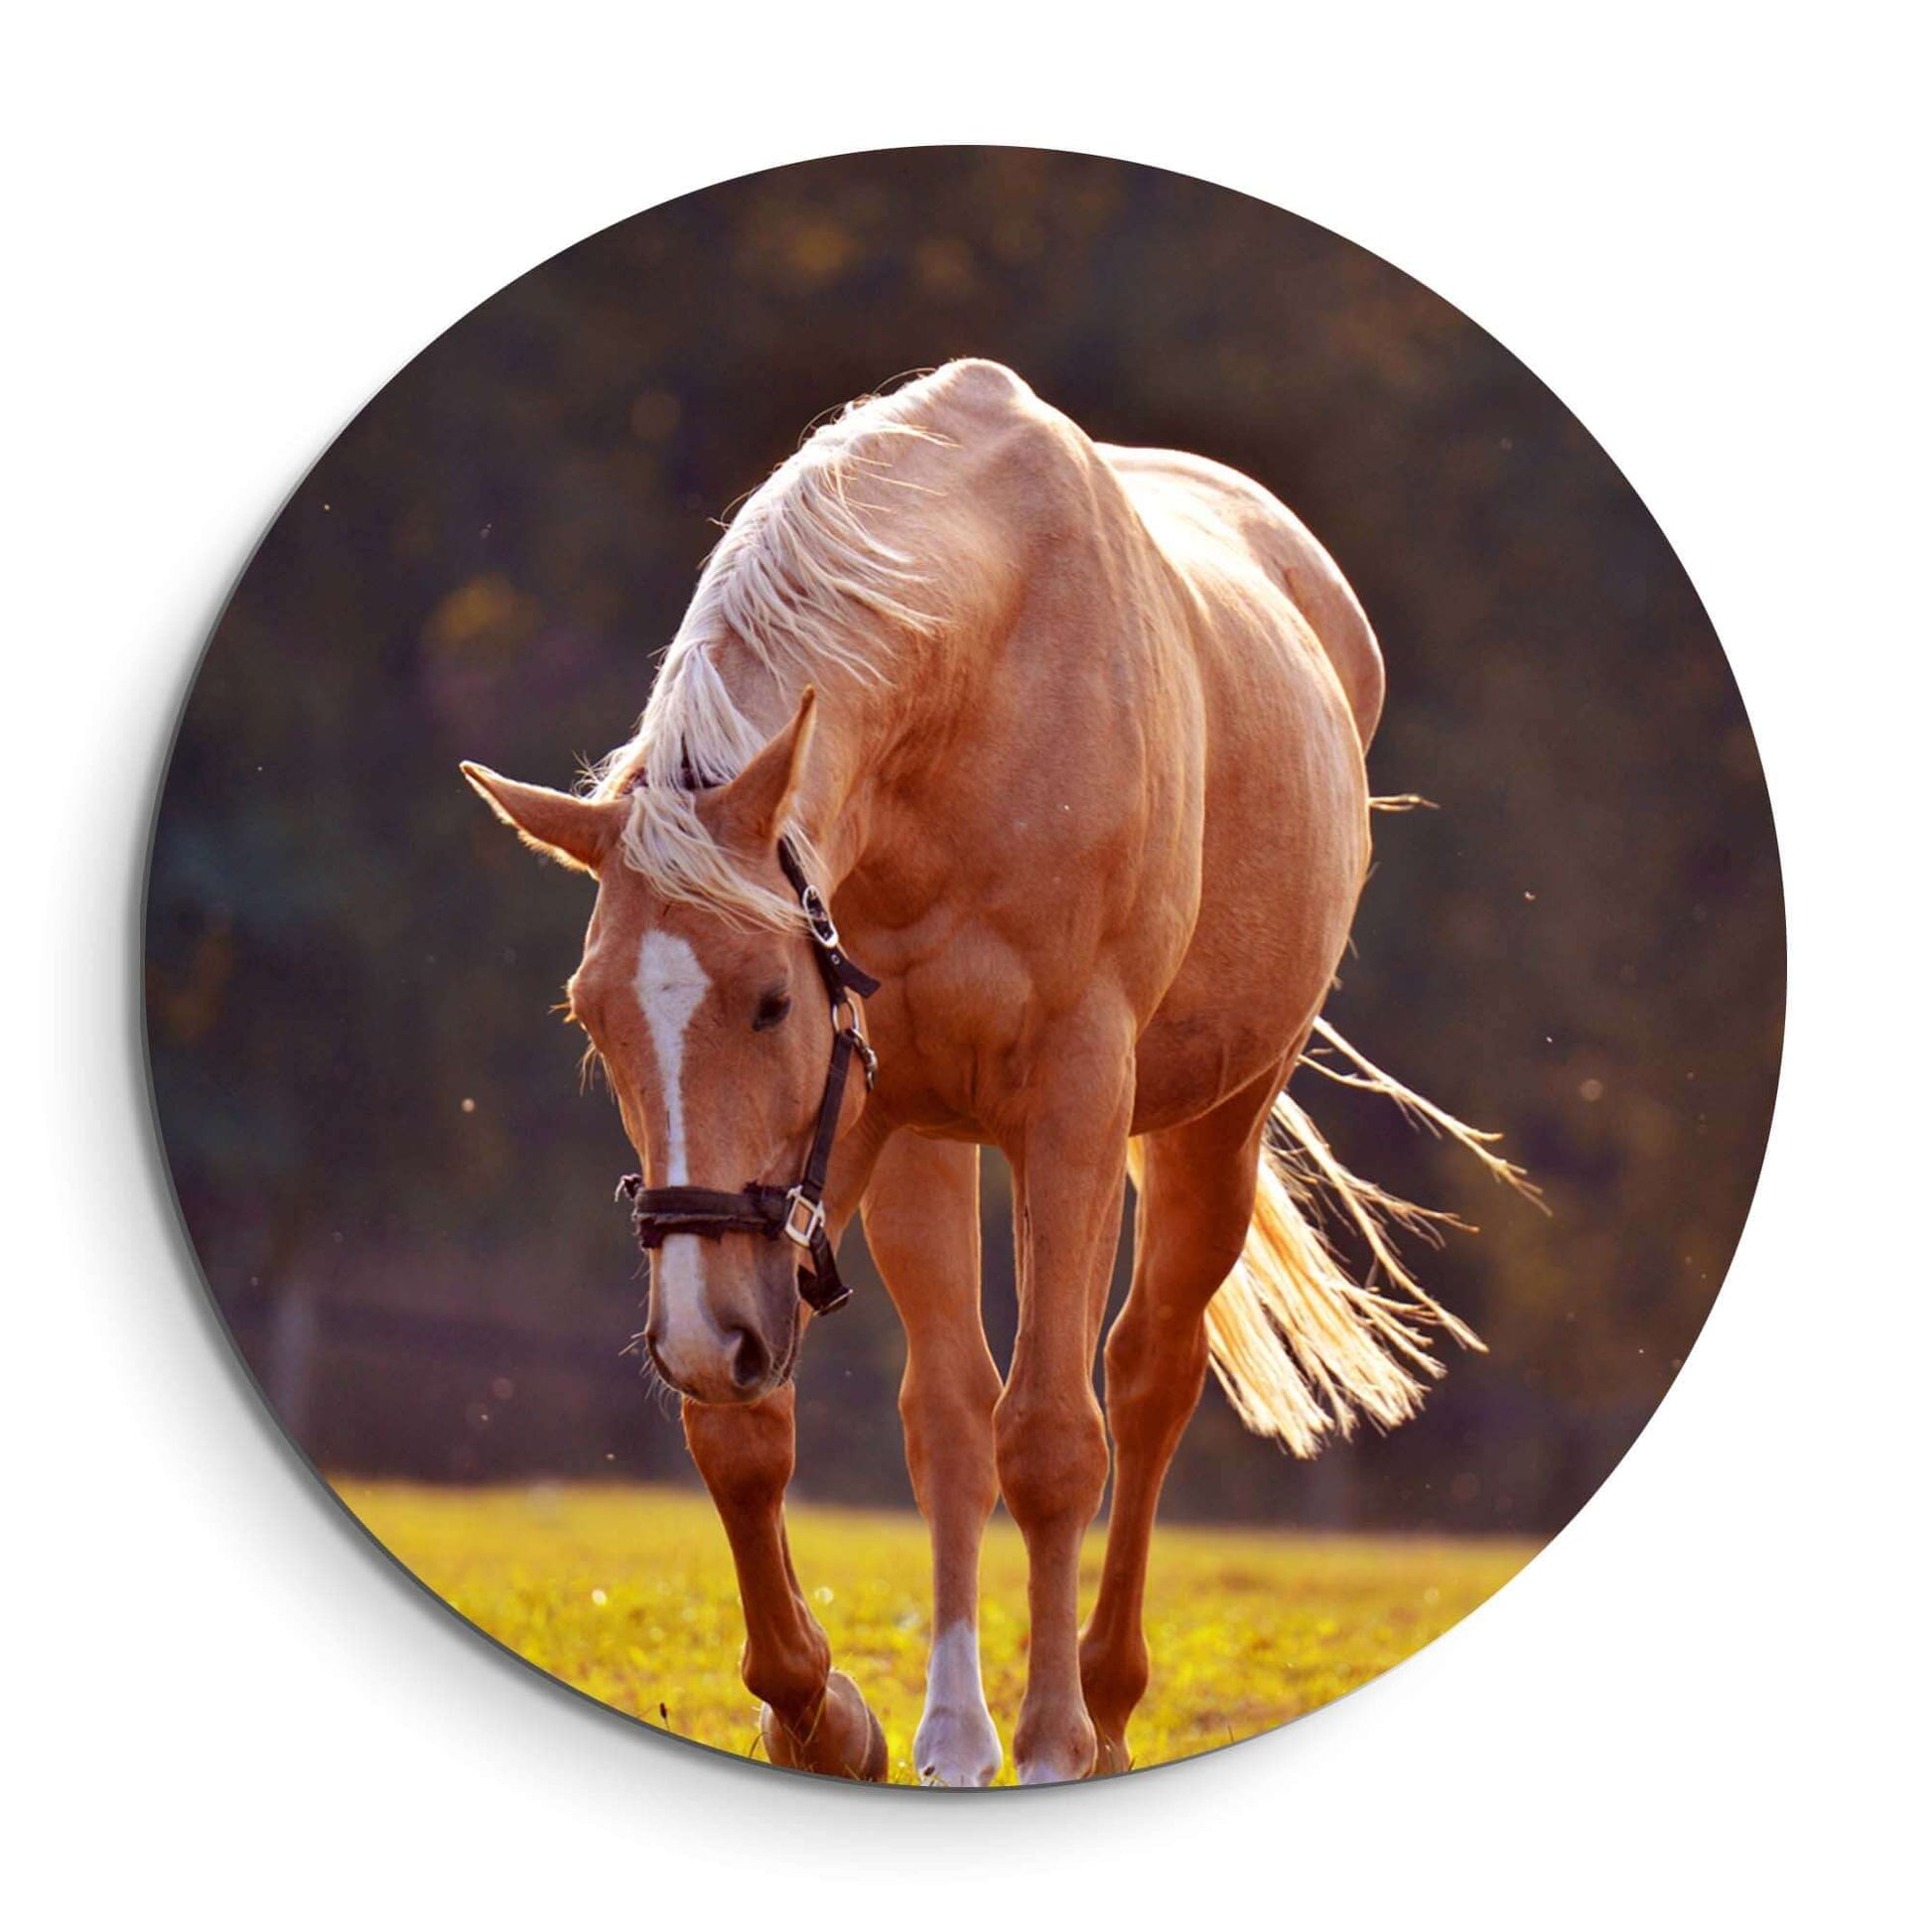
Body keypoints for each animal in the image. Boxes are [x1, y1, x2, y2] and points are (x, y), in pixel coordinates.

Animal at [461, 359, 1527, 1785]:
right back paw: (956, 1734)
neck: (970, 693)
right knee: (952, 1416)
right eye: (594, 1022)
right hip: (925, 1146)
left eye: (768, 1001)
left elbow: (1055, 1437)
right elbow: (758, 1433)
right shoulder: (848, 1133)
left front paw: (1057, 1734)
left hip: (1210, 1128)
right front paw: (823, 1712)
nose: (693, 1330)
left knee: (1145, 1379)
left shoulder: (1070, 1104)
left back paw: (1103, 1703)